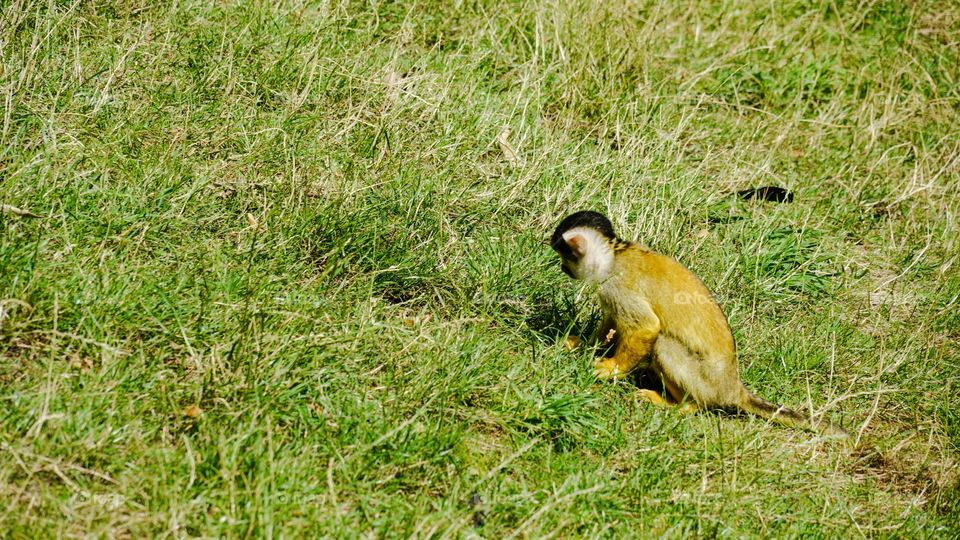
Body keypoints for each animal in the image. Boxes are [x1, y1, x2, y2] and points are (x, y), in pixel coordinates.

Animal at [550, 210, 848, 437]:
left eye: (563, 257)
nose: (562, 268)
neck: (615, 255)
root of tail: (733, 389)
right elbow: (612, 320)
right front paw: (584, 344)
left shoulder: (617, 285)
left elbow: (646, 327)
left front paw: (609, 369)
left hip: (705, 382)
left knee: (663, 344)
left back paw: (683, 405)